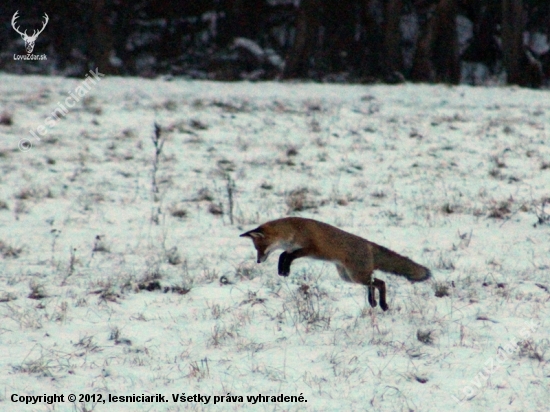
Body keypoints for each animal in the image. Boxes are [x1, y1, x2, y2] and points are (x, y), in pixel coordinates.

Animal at [240, 217, 432, 310]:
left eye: (260, 247)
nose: (258, 261)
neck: (293, 230)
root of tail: (368, 244)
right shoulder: (291, 249)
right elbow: (282, 256)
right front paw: (283, 271)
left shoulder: (311, 249)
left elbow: (288, 256)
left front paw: (285, 270)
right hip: (349, 277)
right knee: (374, 283)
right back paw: (373, 303)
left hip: (356, 275)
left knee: (381, 283)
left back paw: (383, 305)